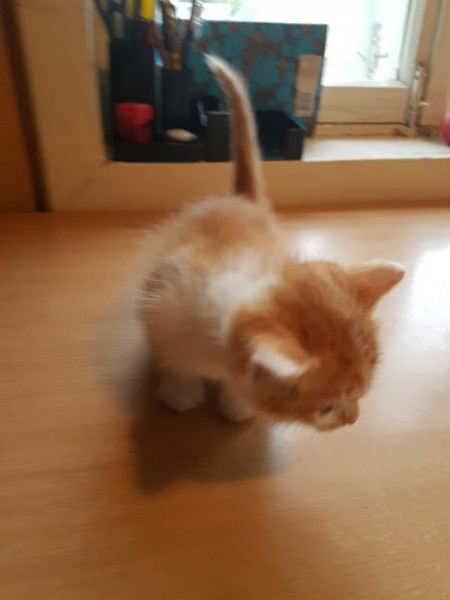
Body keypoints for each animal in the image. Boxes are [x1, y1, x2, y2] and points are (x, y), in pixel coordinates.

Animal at [137, 56, 404, 431]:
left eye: (362, 394)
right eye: (326, 408)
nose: (353, 419)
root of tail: (241, 200)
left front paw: (236, 403)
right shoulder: (160, 306)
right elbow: (170, 357)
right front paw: (180, 389)